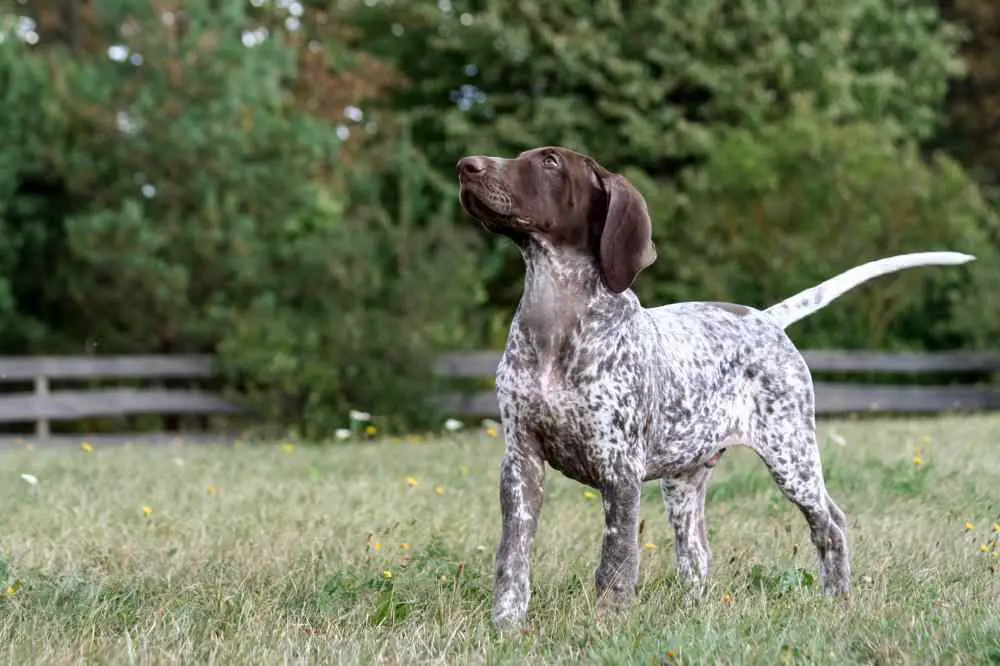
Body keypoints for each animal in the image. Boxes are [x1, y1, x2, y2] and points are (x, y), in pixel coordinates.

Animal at [458, 143, 972, 624]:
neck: (557, 319)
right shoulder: (521, 463)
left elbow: (616, 561)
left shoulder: (619, 470)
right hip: (682, 484)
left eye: (549, 162)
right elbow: (513, 558)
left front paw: (609, 622)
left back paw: (837, 599)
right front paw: (506, 624)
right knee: (697, 554)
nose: (466, 166)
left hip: (792, 457)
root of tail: (765, 319)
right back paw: (693, 611)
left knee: (831, 524)